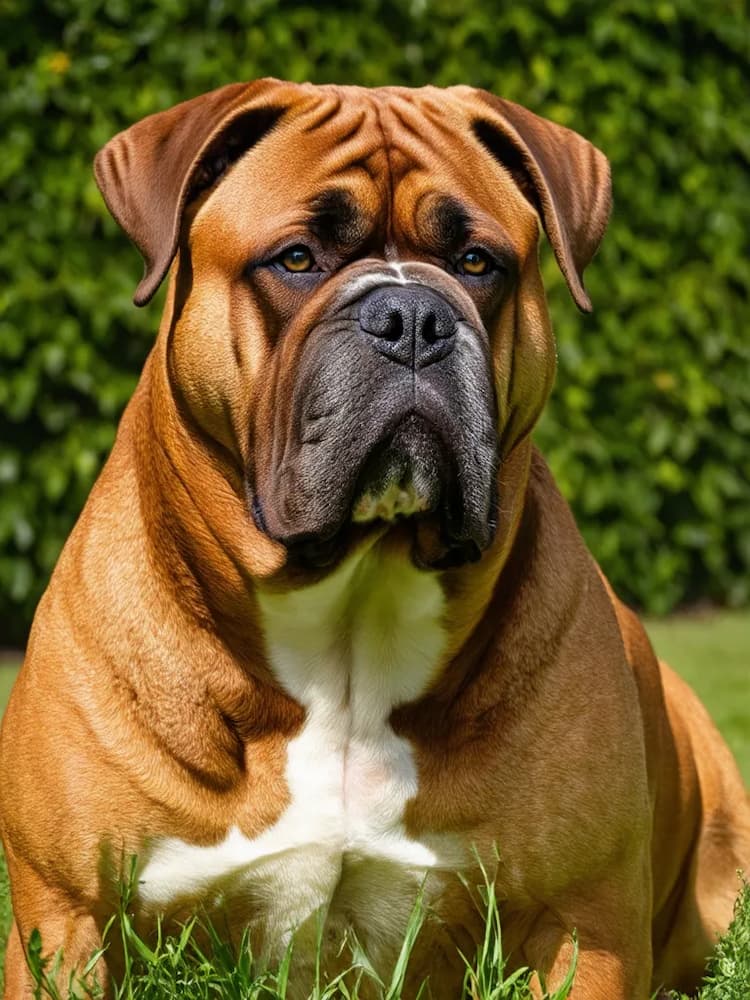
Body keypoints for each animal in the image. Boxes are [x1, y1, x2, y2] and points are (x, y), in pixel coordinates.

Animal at [1, 80, 750, 1000]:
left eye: (478, 263)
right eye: (296, 259)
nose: (414, 317)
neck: (351, 607)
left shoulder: (585, 926)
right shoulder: (64, 921)